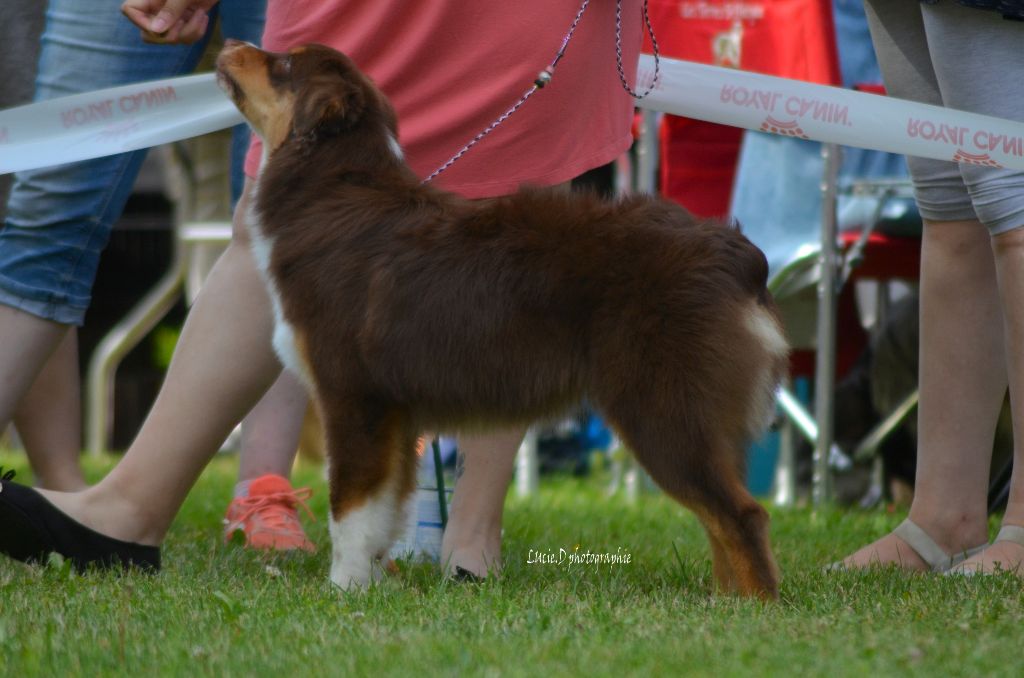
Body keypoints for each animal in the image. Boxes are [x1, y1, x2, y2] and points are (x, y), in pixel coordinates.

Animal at [216, 41, 786, 602]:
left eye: (283, 64)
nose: (227, 44)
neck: (329, 187)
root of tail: (736, 252)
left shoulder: (355, 395)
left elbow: (350, 509)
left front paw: (345, 589)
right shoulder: (396, 413)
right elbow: (384, 511)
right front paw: (374, 583)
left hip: (660, 406)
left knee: (742, 514)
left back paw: (753, 607)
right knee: (719, 517)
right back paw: (724, 600)